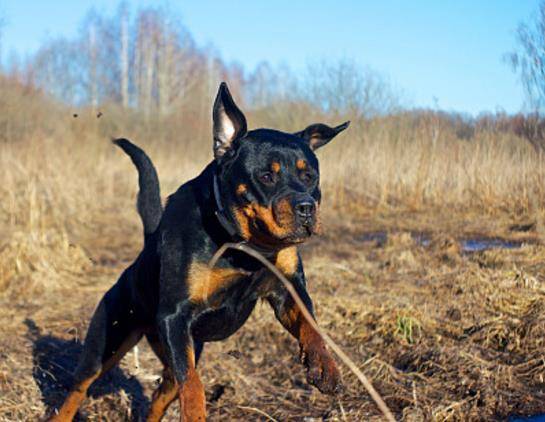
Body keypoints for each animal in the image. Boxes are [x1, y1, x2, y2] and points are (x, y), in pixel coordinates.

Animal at [51, 81, 348, 418]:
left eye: (310, 176)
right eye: (266, 176)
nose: (306, 207)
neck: (245, 246)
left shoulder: (288, 290)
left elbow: (312, 326)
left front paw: (325, 366)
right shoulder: (175, 316)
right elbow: (193, 385)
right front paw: (195, 413)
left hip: (176, 351)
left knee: (160, 395)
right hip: (111, 340)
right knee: (79, 388)